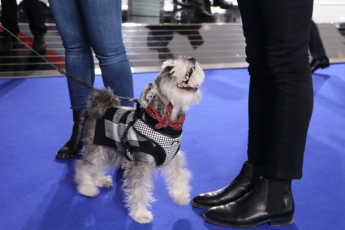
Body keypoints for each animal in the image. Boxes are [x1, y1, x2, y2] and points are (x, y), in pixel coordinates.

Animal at [74, 55, 204, 223]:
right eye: (169, 69)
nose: (192, 58)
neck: (166, 123)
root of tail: (99, 106)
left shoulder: (173, 158)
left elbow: (179, 176)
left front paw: (181, 196)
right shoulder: (140, 165)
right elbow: (139, 191)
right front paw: (140, 214)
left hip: (111, 151)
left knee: (97, 166)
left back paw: (100, 180)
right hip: (96, 149)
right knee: (82, 165)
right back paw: (87, 188)